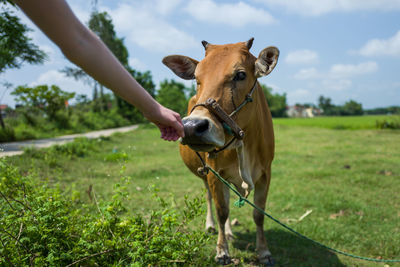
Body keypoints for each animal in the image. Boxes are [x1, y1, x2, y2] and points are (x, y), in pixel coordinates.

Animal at [162, 38, 278, 266]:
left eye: (240, 74)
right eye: (197, 78)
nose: (192, 127)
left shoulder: (265, 173)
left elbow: (258, 214)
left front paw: (264, 251)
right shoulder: (215, 173)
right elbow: (222, 211)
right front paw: (222, 251)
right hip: (204, 173)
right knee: (210, 198)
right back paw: (211, 226)